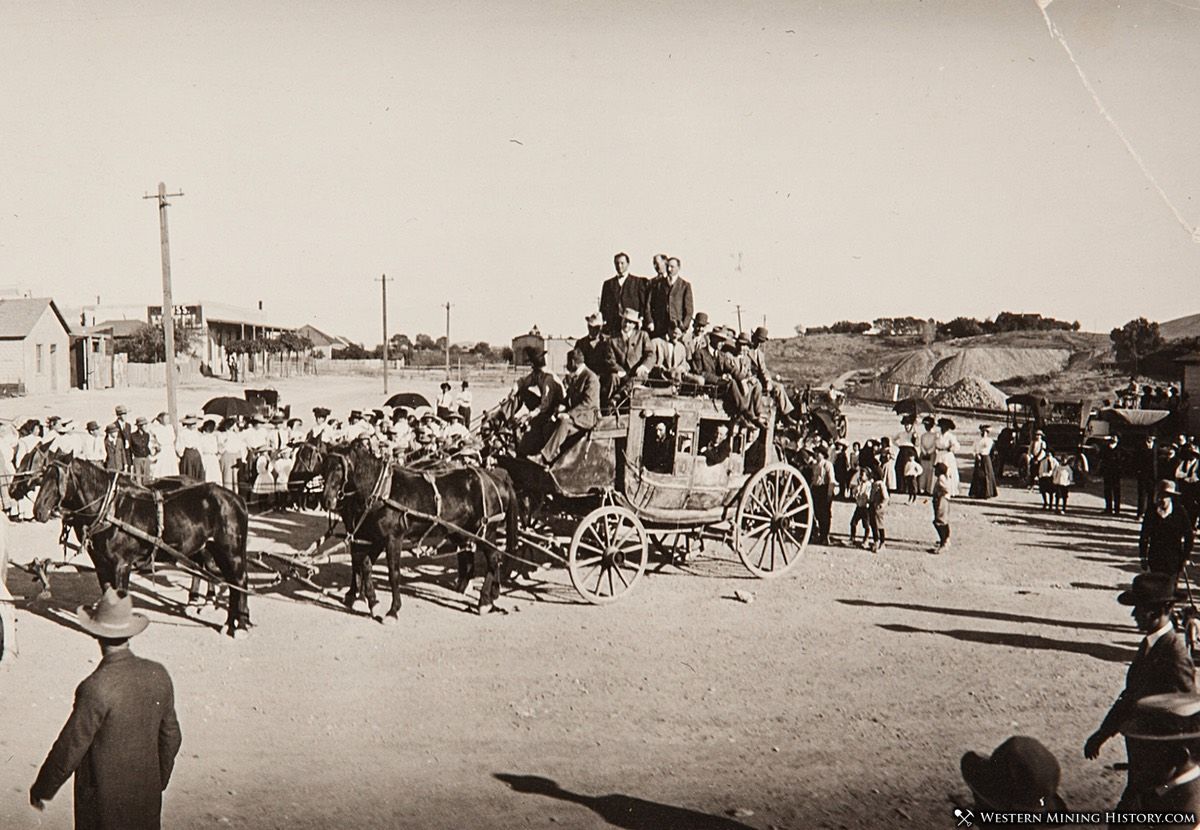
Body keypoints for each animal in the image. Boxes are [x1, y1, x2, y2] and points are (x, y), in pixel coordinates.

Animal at [33, 458, 253, 638]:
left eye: (57, 478)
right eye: (43, 476)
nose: (38, 511)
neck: (111, 509)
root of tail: (237, 499)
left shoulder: (122, 564)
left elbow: (120, 594)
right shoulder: (101, 563)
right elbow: (107, 591)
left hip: (231, 551)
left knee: (239, 581)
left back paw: (239, 625)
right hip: (211, 548)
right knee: (224, 579)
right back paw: (225, 619)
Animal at [324, 436, 520, 618]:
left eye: (339, 468)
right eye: (324, 464)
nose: (326, 499)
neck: (383, 491)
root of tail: (498, 479)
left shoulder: (393, 538)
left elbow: (393, 573)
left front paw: (393, 610)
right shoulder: (375, 537)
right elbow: (365, 565)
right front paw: (372, 602)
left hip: (487, 531)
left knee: (493, 559)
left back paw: (484, 601)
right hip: (464, 531)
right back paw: (489, 594)